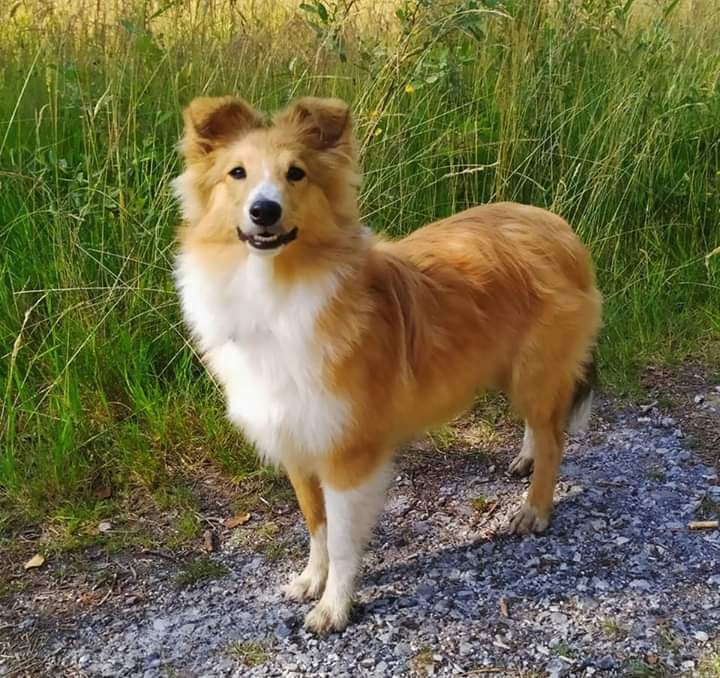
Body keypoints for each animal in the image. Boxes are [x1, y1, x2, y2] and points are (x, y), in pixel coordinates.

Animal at [173, 93, 600, 636]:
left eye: (296, 174)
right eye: (237, 173)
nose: (264, 211)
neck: (278, 289)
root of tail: (556, 226)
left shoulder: (347, 454)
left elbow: (342, 539)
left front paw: (334, 608)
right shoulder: (296, 440)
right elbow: (316, 525)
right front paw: (311, 581)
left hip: (536, 371)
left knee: (554, 438)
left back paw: (535, 509)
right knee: (540, 428)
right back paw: (524, 459)